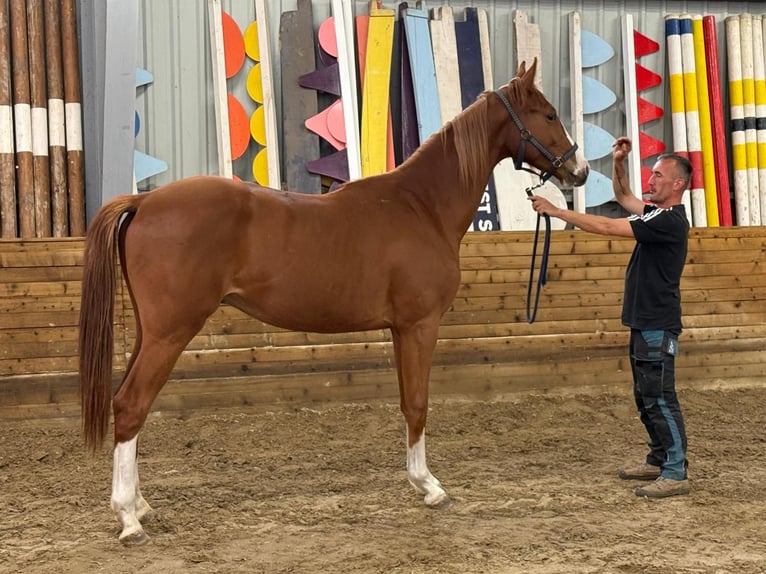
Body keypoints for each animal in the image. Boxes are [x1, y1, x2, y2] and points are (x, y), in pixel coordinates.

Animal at [79, 59, 589, 544]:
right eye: (548, 114)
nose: (578, 171)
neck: (421, 206)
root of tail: (144, 203)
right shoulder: (419, 325)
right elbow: (418, 404)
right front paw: (430, 487)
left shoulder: (400, 329)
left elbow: (407, 401)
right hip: (170, 333)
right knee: (131, 405)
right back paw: (129, 519)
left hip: (149, 332)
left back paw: (140, 505)